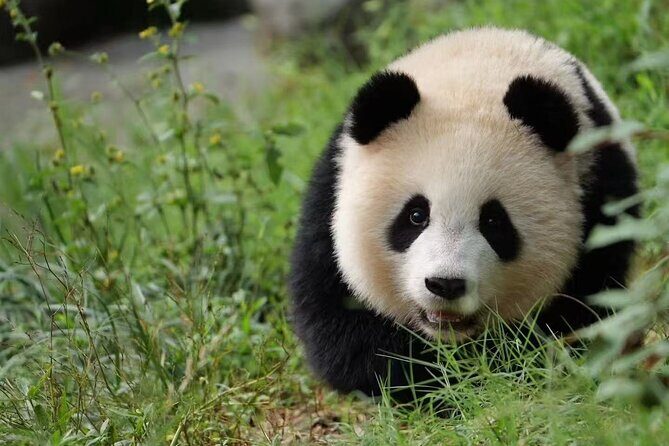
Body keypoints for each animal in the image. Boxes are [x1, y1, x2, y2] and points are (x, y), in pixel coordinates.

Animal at [289, 27, 639, 401]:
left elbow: (582, 309)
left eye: (494, 221)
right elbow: (342, 324)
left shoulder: (600, 194)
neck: (477, 73)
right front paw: (430, 381)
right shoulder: (329, 194)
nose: (445, 284)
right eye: (416, 215)